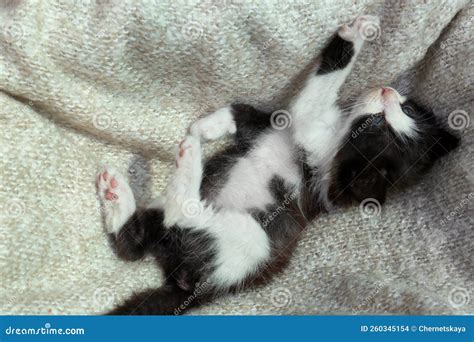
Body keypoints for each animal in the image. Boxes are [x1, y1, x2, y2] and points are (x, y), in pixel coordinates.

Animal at [95, 16, 460, 316]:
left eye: (375, 125)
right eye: (406, 109)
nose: (387, 90)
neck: (337, 135)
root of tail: (191, 291)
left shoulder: (310, 134)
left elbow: (316, 92)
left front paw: (355, 34)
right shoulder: (270, 126)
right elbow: (243, 110)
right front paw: (207, 126)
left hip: (250, 242)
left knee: (182, 212)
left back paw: (188, 162)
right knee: (134, 246)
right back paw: (116, 195)